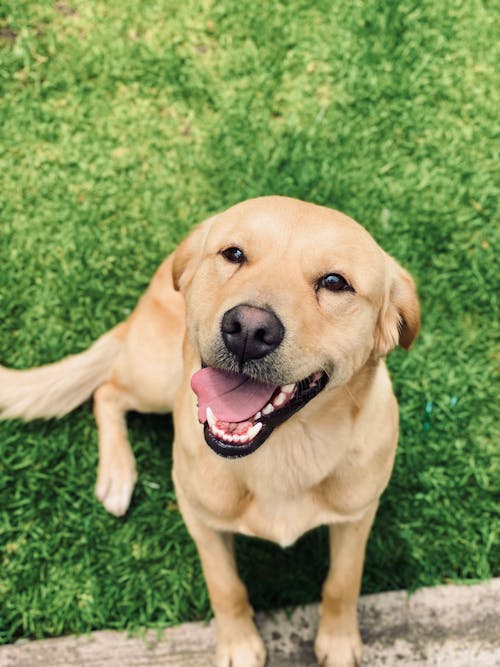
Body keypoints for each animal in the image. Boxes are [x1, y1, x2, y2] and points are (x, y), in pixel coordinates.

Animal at [0, 198, 418, 667]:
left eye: (335, 282)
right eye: (233, 254)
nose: (249, 329)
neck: (282, 453)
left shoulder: (358, 515)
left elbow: (343, 582)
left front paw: (339, 640)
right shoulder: (198, 516)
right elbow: (226, 587)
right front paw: (238, 644)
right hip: (158, 377)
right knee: (106, 391)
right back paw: (117, 475)